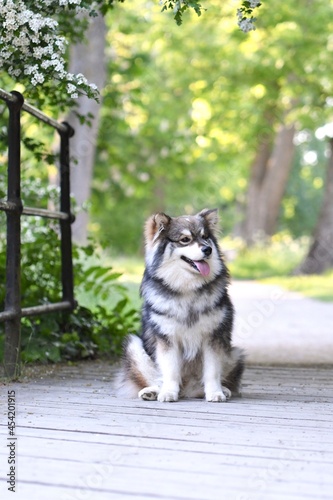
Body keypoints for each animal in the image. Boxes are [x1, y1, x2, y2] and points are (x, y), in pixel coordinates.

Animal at [116, 209, 244, 404]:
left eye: (205, 237)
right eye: (185, 239)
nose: (208, 249)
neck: (187, 288)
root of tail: (187, 390)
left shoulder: (214, 337)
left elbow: (212, 371)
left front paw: (215, 392)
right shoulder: (167, 338)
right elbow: (170, 370)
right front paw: (168, 392)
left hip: (235, 354)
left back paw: (222, 390)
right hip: (134, 346)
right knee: (156, 378)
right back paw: (153, 391)